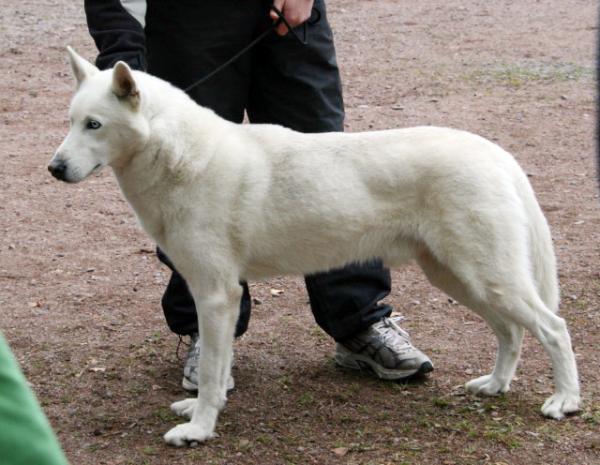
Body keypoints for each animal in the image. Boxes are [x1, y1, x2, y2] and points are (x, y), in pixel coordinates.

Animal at [50, 48, 580, 446]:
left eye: (95, 125)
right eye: (72, 121)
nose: (54, 169)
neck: (180, 155)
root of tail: (496, 153)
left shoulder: (217, 295)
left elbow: (214, 375)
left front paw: (199, 430)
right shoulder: (217, 296)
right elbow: (217, 372)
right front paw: (200, 409)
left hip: (487, 277)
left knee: (553, 328)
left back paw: (565, 402)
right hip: (460, 278)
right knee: (511, 332)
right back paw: (494, 386)